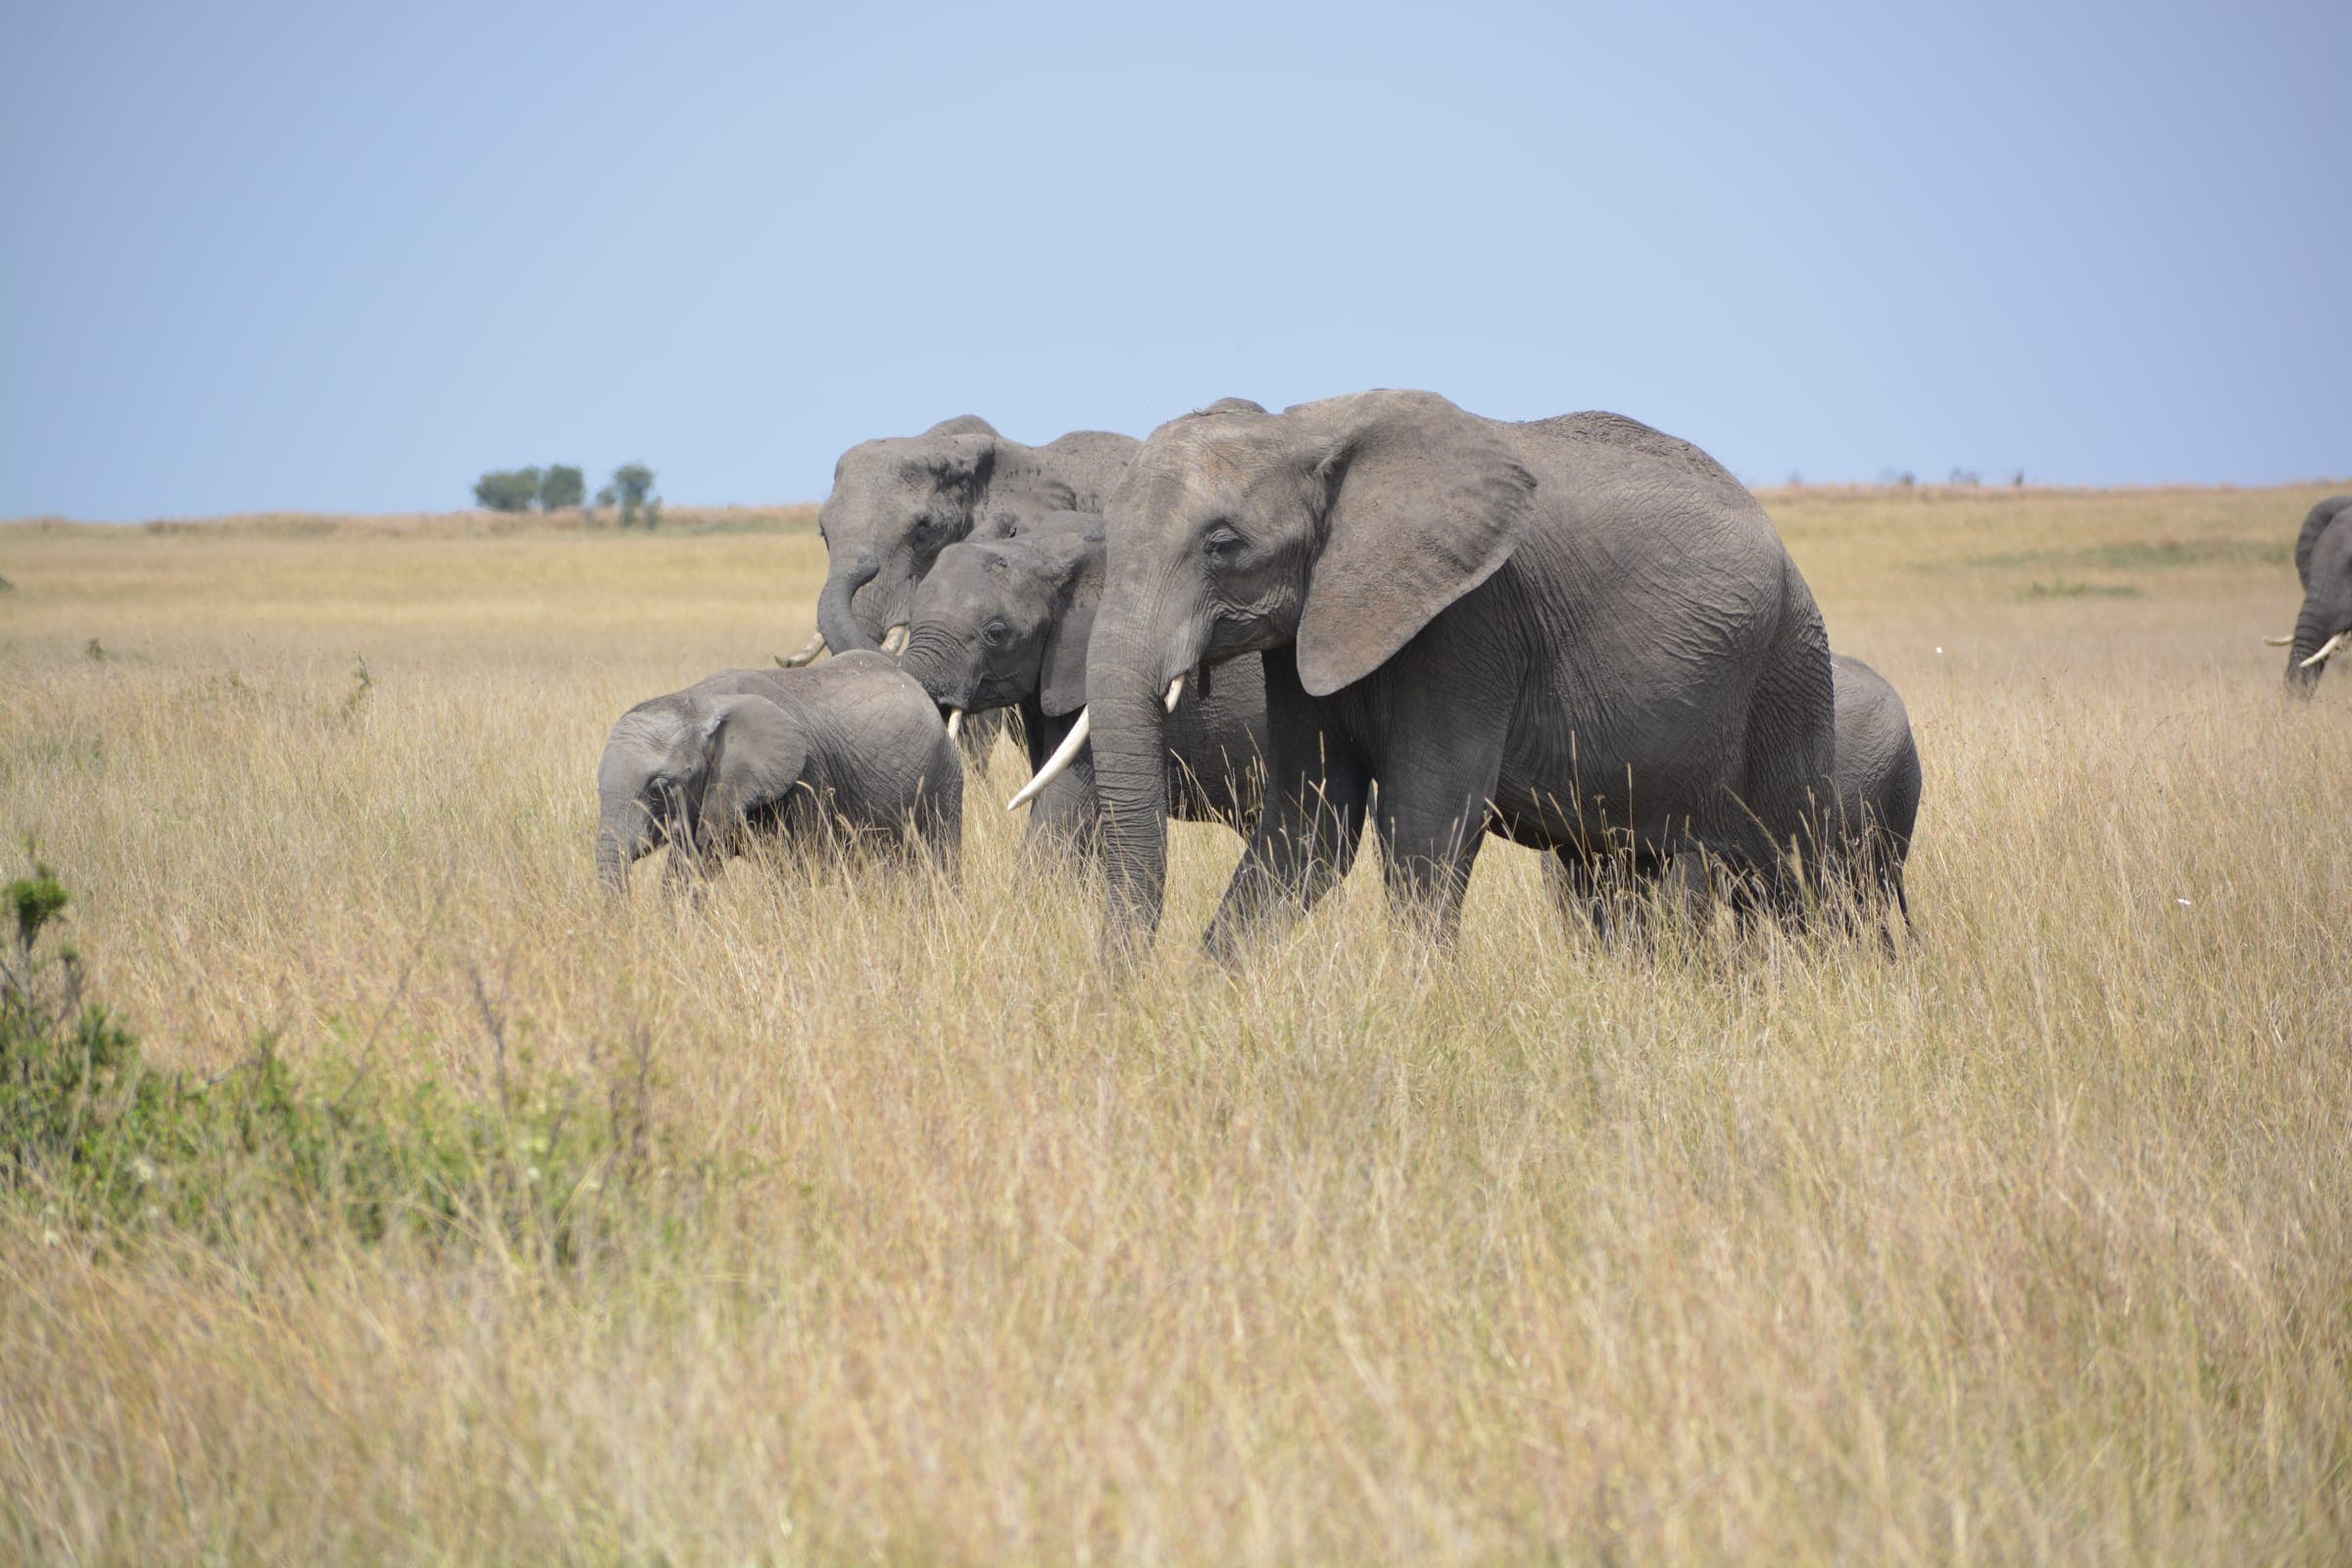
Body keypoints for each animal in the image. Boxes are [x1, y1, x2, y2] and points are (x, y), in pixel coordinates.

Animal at [596, 652, 960, 893]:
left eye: (660, 788)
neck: (699, 703)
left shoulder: (804, 777)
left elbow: (799, 869)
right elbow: (687, 870)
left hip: (943, 776)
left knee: (936, 859)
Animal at [1017, 389, 1837, 960]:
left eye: (1222, 545)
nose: (1118, 992)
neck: (1305, 427)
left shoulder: (1471, 622)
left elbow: (1424, 823)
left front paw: (1420, 1009)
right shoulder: (1315, 623)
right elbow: (1308, 825)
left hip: (1790, 670)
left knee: (1796, 871)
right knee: (1615, 873)